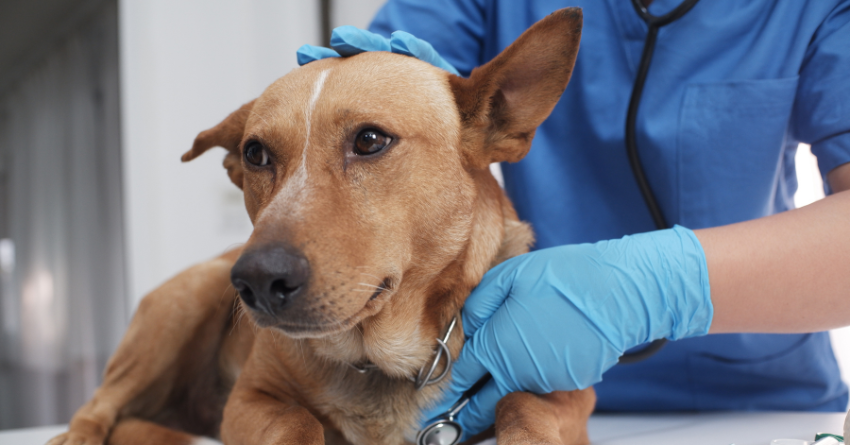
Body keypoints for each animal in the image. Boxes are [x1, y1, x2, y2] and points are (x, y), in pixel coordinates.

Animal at [46, 7, 588, 444]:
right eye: (255, 154)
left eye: (370, 140)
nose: (257, 281)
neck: (378, 356)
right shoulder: (249, 399)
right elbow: (297, 420)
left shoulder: (565, 389)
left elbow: (523, 403)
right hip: (185, 300)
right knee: (98, 408)